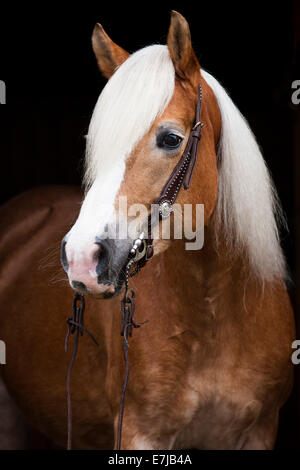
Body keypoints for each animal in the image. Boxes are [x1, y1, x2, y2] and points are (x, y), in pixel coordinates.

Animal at [0, 11, 296, 452]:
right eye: (95, 143)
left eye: (171, 139)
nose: (82, 258)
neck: (216, 316)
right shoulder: (140, 434)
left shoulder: (259, 432)